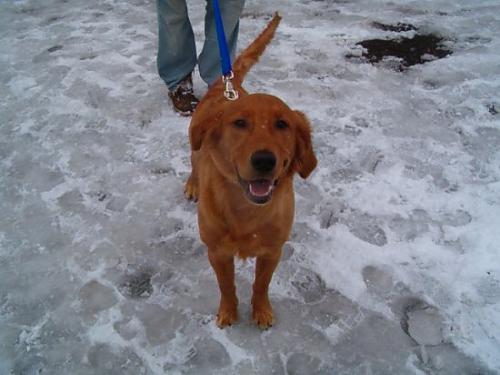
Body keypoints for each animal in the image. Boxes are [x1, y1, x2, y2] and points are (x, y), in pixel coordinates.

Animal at [184, 13, 316, 328]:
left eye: (282, 124)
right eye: (240, 123)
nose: (265, 160)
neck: (246, 210)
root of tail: (225, 86)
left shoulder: (272, 251)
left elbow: (261, 285)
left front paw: (262, 311)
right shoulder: (217, 253)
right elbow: (227, 286)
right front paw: (228, 312)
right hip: (194, 144)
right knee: (194, 164)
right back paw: (193, 184)